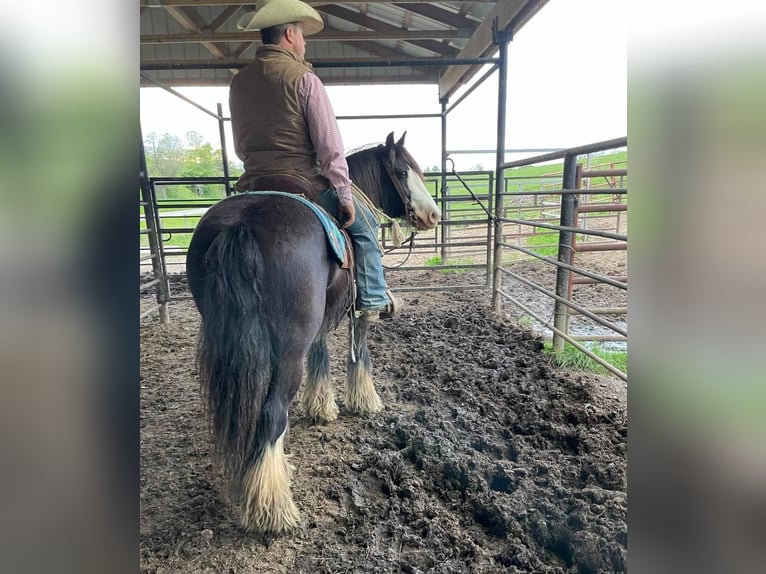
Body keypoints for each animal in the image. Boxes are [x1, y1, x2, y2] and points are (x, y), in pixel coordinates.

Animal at [184, 133, 444, 532]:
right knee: (272, 412)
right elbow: (360, 353)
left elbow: (321, 353)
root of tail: (242, 224)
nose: (432, 215)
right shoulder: (358, 310)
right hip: (288, 350)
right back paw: (273, 508)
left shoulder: (321, 319)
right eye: (403, 171)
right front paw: (364, 400)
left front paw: (321, 406)